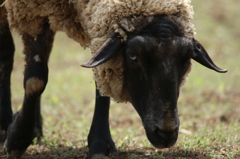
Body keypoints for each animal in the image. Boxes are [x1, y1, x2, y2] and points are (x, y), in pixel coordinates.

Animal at [0, 0, 227, 158]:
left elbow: (101, 79)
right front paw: (18, 138)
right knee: (7, 56)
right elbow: (35, 79)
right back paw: (5, 127)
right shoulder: (30, 10)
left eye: (186, 58)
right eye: (133, 56)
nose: (166, 134)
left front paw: (99, 142)